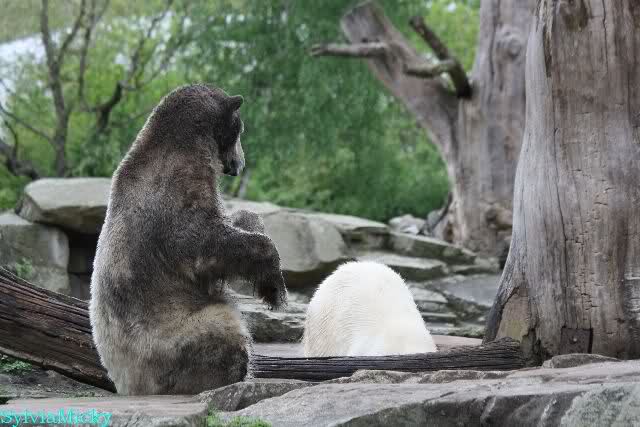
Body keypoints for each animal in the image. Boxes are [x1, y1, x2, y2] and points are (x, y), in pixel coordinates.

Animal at [89, 84, 287, 395]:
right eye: (241, 128)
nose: (241, 163)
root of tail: (126, 383)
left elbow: (234, 224)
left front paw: (252, 222)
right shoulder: (171, 196)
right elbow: (204, 243)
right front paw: (274, 289)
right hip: (166, 339)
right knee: (222, 327)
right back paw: (230, 371)